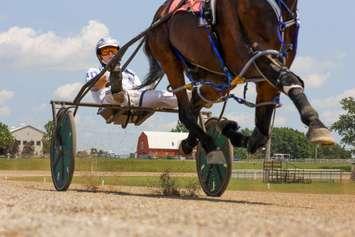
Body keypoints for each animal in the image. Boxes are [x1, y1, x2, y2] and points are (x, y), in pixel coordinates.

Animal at [140, 0, 336, 159]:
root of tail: (160, 14)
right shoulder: (258, 56)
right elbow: (288, 78)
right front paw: (316, 124)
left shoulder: (267, 75)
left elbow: (261, 134)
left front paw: (235, 133)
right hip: (168, 58)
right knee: (186, 111)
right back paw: (209, 144)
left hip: (217, 78)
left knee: (197, 101)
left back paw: (197, 140)